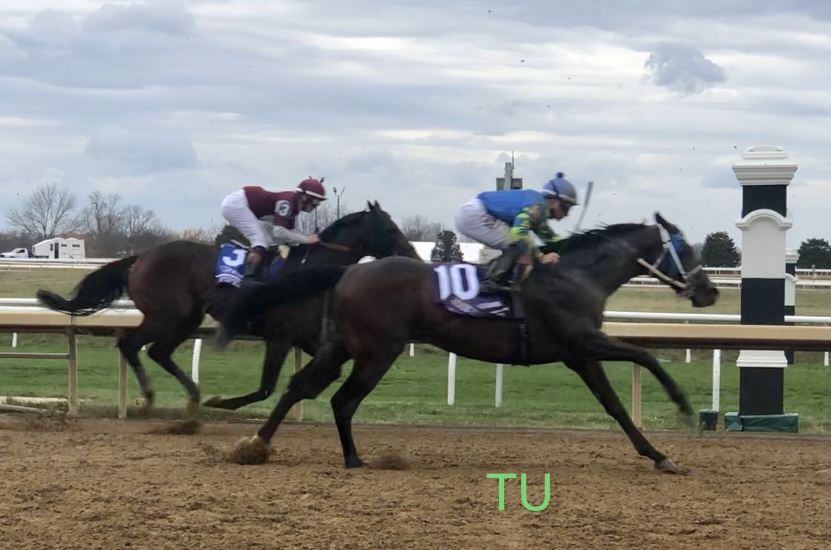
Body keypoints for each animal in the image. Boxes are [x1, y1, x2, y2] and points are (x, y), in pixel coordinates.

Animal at [35, 202, 420, 414]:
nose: (413, 255)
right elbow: (266, 388)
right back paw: (152, 396)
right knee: (130, 344)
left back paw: (192, 396)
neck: (310, 270)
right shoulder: (280, 338)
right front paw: (222, 403)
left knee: (158, 351)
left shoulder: (311, 339)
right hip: (168, 313)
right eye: (389, 228)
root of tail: (141, 257)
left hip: (187, 316)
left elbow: (325, 373)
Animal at [218, 211, 720, 474]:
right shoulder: (583, 342)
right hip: (378, 351)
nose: (710, 290)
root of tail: (347, 271)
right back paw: (353, 459)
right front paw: (681, 410)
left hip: (341, 346)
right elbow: (645, 356)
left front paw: (657, 454)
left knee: (299, 387)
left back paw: (256, 445)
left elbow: (614, 404)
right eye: (686, 249)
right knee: (343, 400)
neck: (576, 276)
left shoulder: (578, 354)